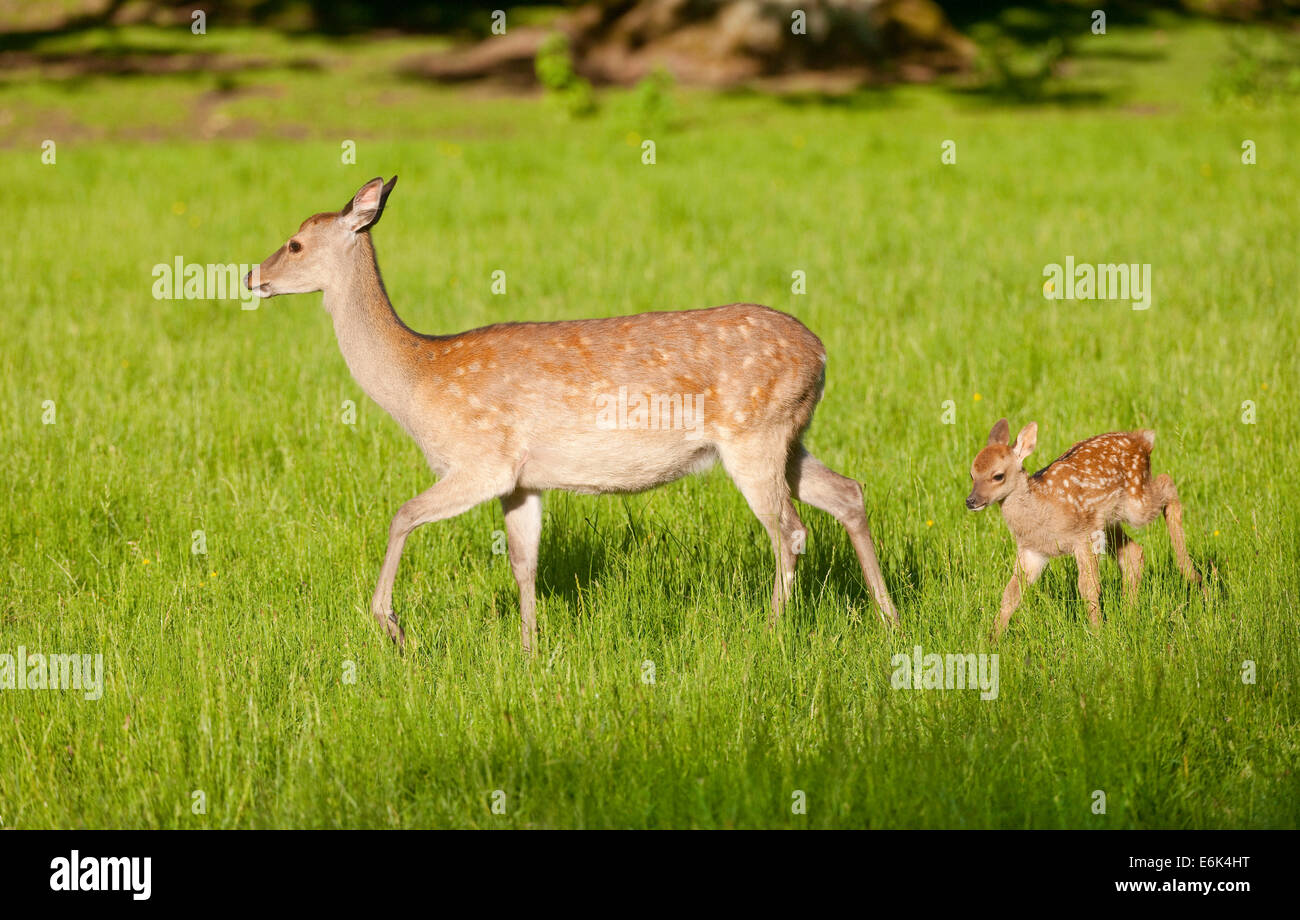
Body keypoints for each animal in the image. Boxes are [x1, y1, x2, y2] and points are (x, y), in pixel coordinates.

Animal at [241, 179, 894, 649]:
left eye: (296, 243)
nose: (251, 274)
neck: (417, 379)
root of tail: (822, 354)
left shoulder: (481, 459)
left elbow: (402, 514)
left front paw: (393, 627)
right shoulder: (522, 480)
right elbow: (524, 563)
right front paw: (530, 651)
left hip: (753, 433)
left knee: (790, 530)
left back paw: (771, 632)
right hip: (789, 434)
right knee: (848, 493)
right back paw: (889, 618)